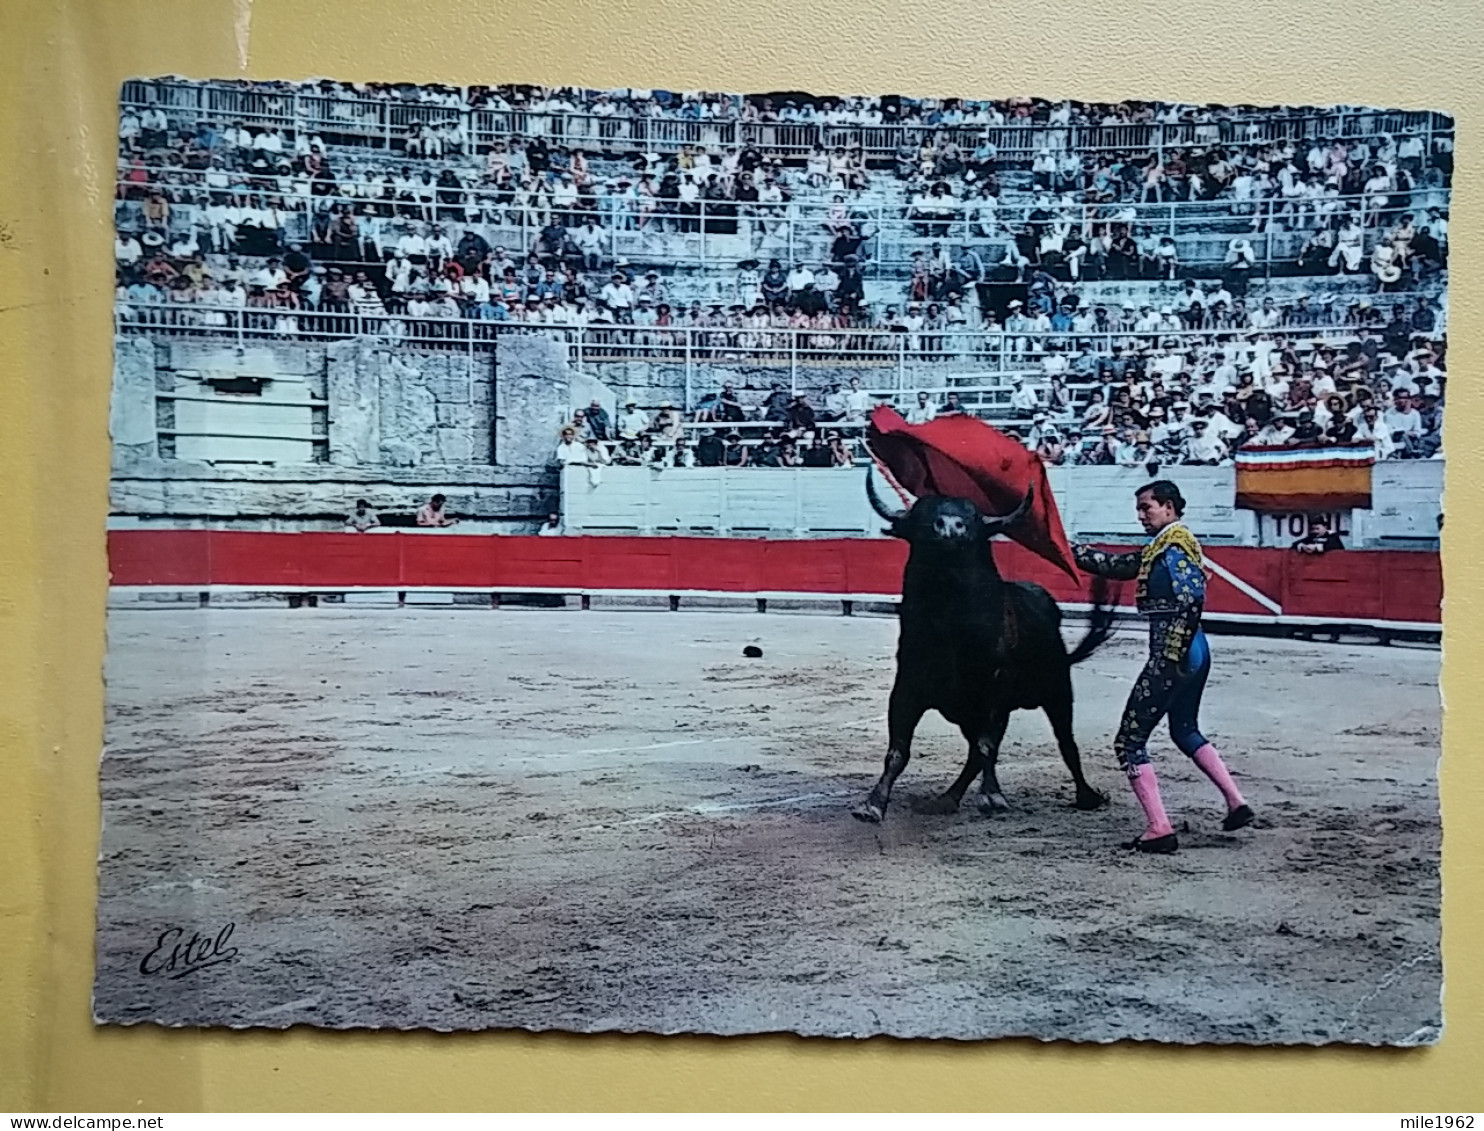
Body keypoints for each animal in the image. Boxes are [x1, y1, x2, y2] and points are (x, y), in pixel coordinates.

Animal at [848, 471, 1115, 825]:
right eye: (921, 515)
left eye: (973, 517)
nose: (949, 527)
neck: (949, 623)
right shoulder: (907, 688)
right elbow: (898, 751)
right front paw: (872, 805)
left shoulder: (996, 689)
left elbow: (988, 745)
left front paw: (992, 796)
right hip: (970, 713)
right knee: (975, 752)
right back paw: (947, 799)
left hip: (1057, 691)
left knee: (1064, 742)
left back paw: (1086, 796)